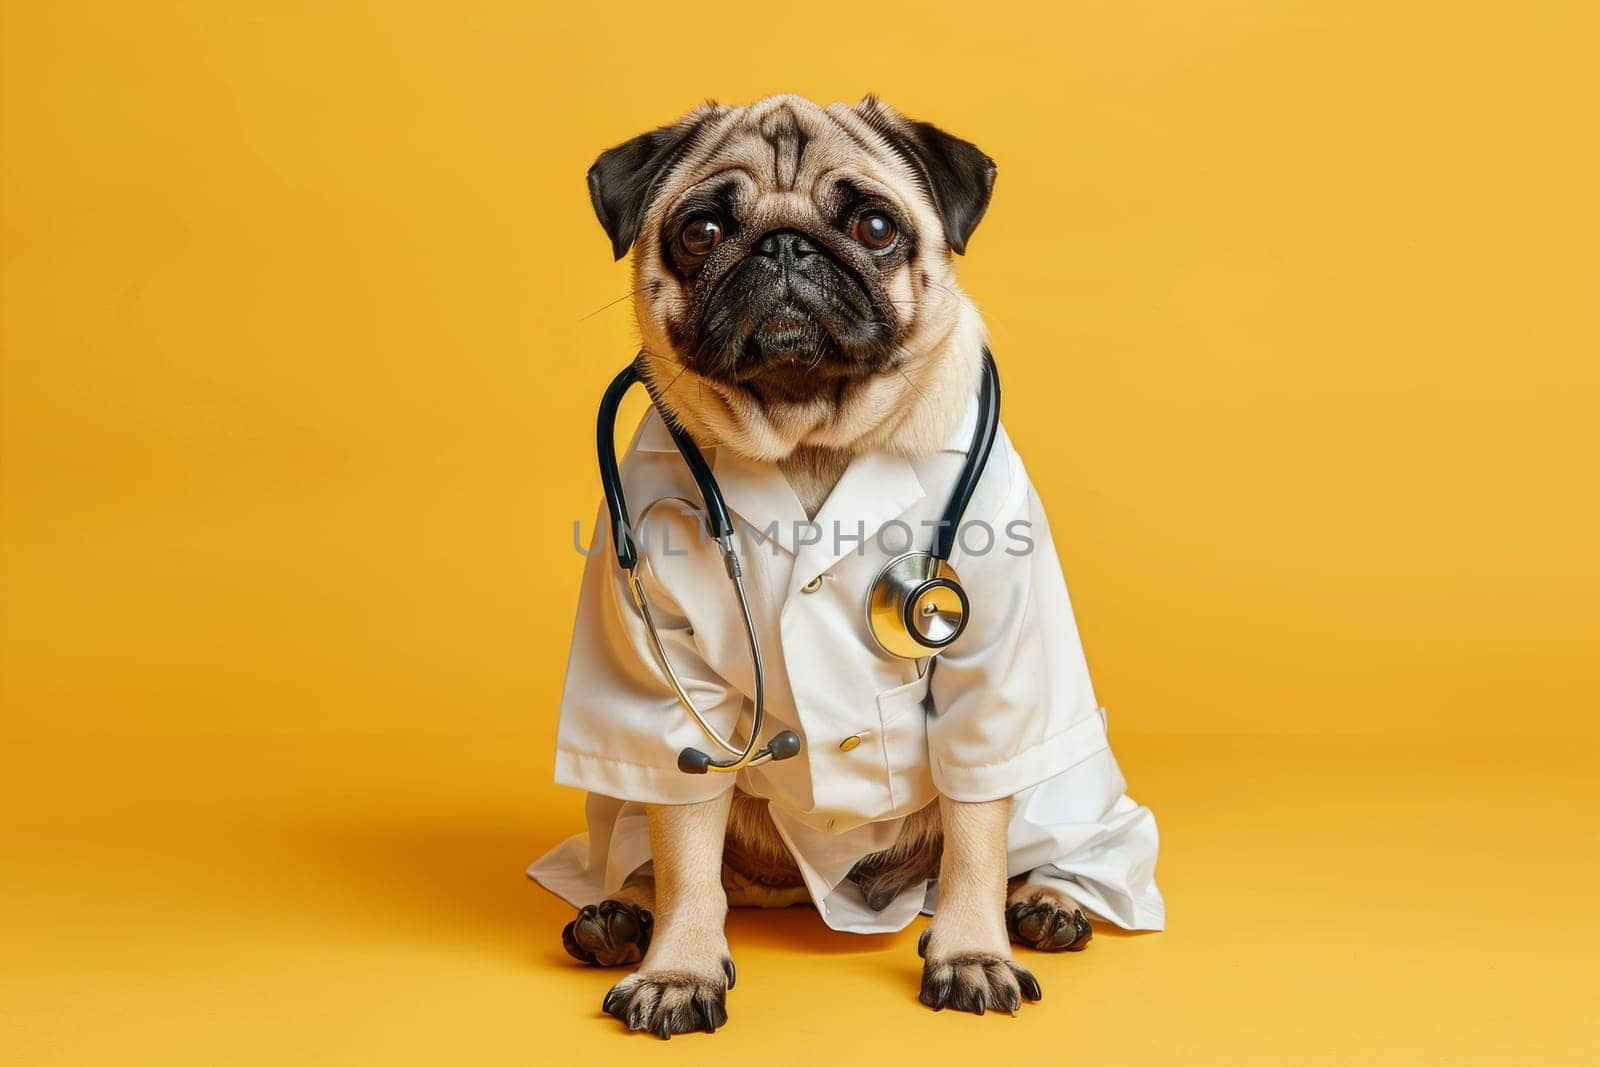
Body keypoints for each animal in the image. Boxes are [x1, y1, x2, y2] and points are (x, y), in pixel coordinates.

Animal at [537, 93, 1164, 1036]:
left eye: (874, 226)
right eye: (702, 230)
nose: (783, 246)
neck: (807, 437)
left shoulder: (989, 665)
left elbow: (977, 832)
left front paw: (972, 952)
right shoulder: (668, 666)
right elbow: (685, 844)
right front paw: (679, 966)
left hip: (1067, 780)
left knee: (1042, 835)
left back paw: (1049, 902)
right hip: (624, 802)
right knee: (658, 852)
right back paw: (619, 914)